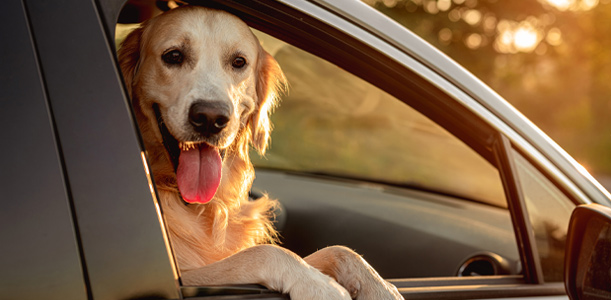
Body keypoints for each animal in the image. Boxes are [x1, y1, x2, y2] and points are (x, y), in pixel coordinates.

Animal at [120, 5, 406, 300]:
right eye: (173, 56)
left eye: (238, 62)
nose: (210, 117)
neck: (203, 206)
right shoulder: (183, 278)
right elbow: (264, 252)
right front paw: (319, 285)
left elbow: (340, 250)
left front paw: (380, 286)